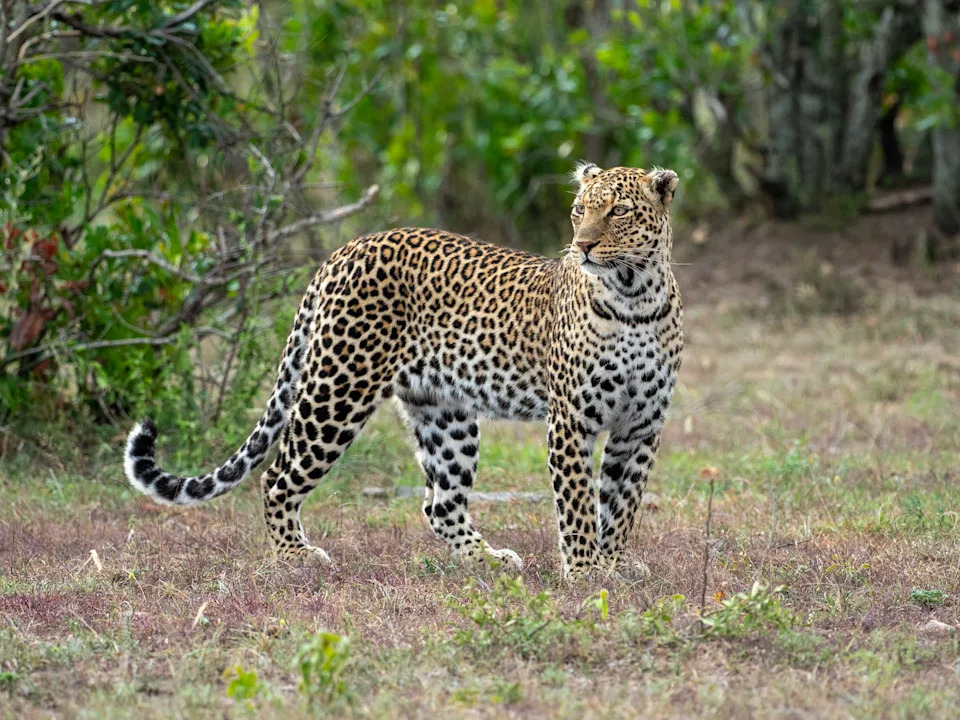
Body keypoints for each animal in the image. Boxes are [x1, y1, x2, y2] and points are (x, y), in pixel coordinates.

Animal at [124, 162, 683, 580]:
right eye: (579, 210)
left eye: (618, 211)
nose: (583, 246)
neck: (634, 297)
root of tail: (345, 248)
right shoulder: (571, 419)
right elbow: (578, 504)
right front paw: (586, 571)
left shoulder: (641, 425)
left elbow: (622, 501)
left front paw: (614, 564)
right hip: (337, 389)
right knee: (277, 475)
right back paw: (295, 557)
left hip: (444, 413)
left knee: (439, 504)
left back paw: (487, 559)